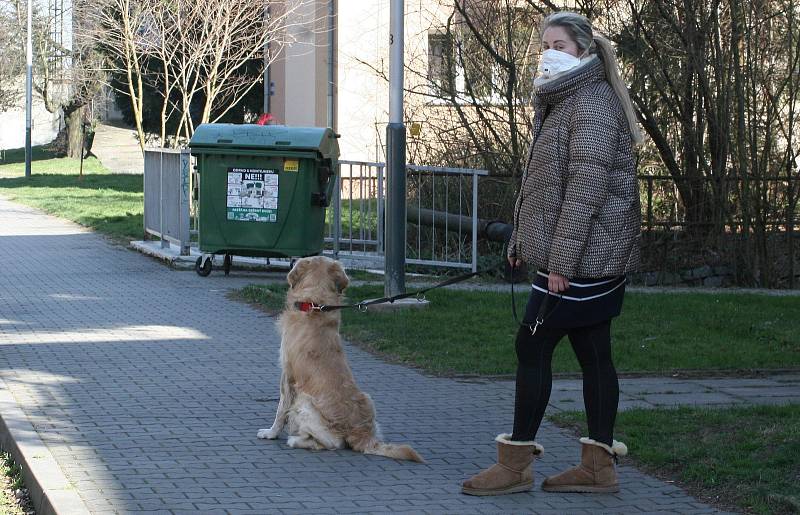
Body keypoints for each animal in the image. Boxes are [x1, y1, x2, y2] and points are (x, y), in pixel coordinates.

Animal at [260, 258, 424, 464]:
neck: (315, 304)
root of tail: (362, 434)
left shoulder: (287, 375)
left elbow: (281, 409)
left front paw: (270, 433)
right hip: (368, 399)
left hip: (304, 401)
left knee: (333, 443)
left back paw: (295, 440)